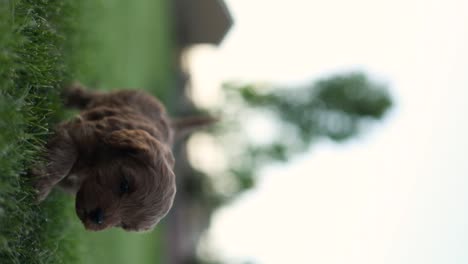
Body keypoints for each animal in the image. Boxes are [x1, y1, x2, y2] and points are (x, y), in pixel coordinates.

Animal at [34, 83, 212, 231]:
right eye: (124, 185)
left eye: (123, 224)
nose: (97, 218)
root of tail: (172, 123)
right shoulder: (78, 134)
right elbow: (62, 162)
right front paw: (38, 186)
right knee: (83, 94)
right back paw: (67, 94)